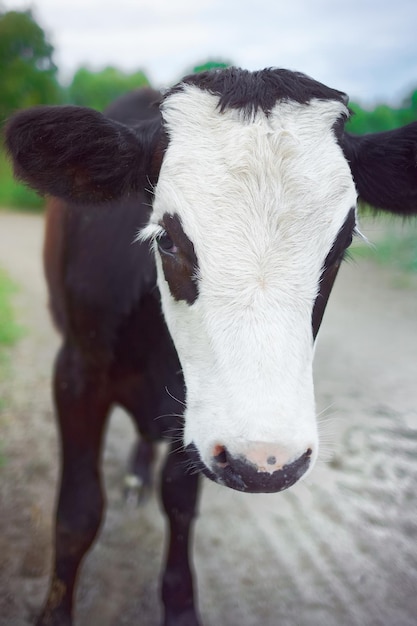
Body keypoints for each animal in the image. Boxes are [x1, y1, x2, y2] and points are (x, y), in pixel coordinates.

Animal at [4, 68, 416, 624]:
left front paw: (180, 606)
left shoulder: (195, 411)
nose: (267, 460)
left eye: (343, 243)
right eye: (166, 238)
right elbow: (77, 512)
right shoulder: (76, 372)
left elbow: (180, 503)